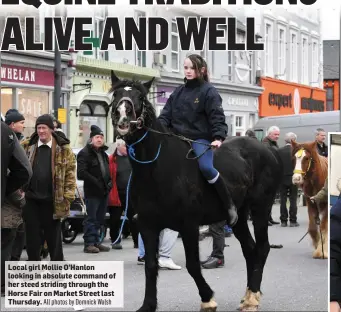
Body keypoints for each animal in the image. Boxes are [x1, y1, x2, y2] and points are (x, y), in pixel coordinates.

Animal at [109, 71, 282, 312]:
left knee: (263, 248)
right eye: (116, 94)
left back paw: (253, 297)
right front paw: (148, 305)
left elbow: (192, 265)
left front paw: (208, 298)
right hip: (239, 217)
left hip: (260, 208)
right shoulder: (148, 226)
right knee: (250, 249)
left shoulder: (189, 225)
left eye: (140, 97)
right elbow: (151, 265)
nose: (123, 116)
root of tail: (267, 150)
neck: (157, 168)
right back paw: (248, 295)